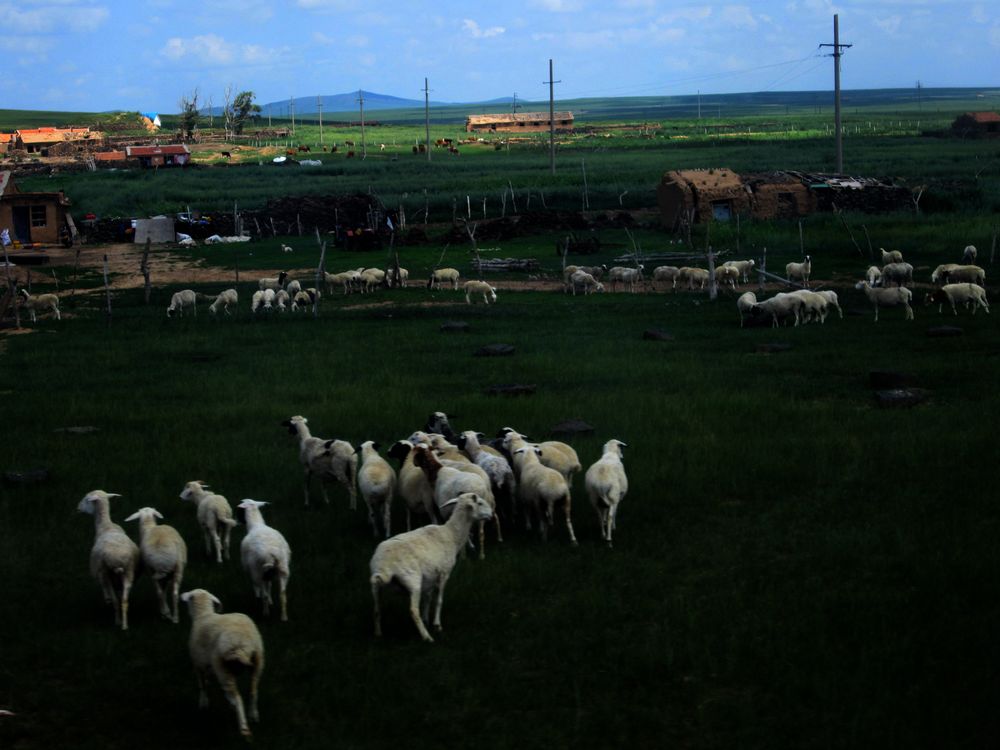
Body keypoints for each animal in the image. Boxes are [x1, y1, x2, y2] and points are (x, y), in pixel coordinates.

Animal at [77, 490, 140, 632]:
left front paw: (107, 599)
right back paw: (124, 626)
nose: (77, 508)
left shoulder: (101, 573)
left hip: (107, 574)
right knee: (124, 601)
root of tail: (117, 560)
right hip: (128, 573)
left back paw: (117, 621)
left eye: (86, 499)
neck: (106, 525)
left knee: (115, 601)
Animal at [181, 592, 264, 744]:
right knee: (253, 690)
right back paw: (253, 714)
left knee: (238, 697)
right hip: (258, 661)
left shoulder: (197, 663)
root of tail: (241, 643)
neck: (203, 614)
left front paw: (203, 702)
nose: (182, 595)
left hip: (222, 666)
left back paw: (244, 729)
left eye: (189, 597)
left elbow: (202, 684)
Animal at [370, 494, 494, 648]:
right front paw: (436, 625)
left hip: (375, 585)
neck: (452, 535)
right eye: (480, 503)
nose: (492, 514)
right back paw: (427, 637)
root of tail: (384, 566)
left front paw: (426, 619)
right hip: (412, 581)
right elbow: (439, 600)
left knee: (376, 609)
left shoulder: (429, 577)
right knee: (413, 611)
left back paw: (378, 634)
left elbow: (427, 599)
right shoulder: (444, 573)